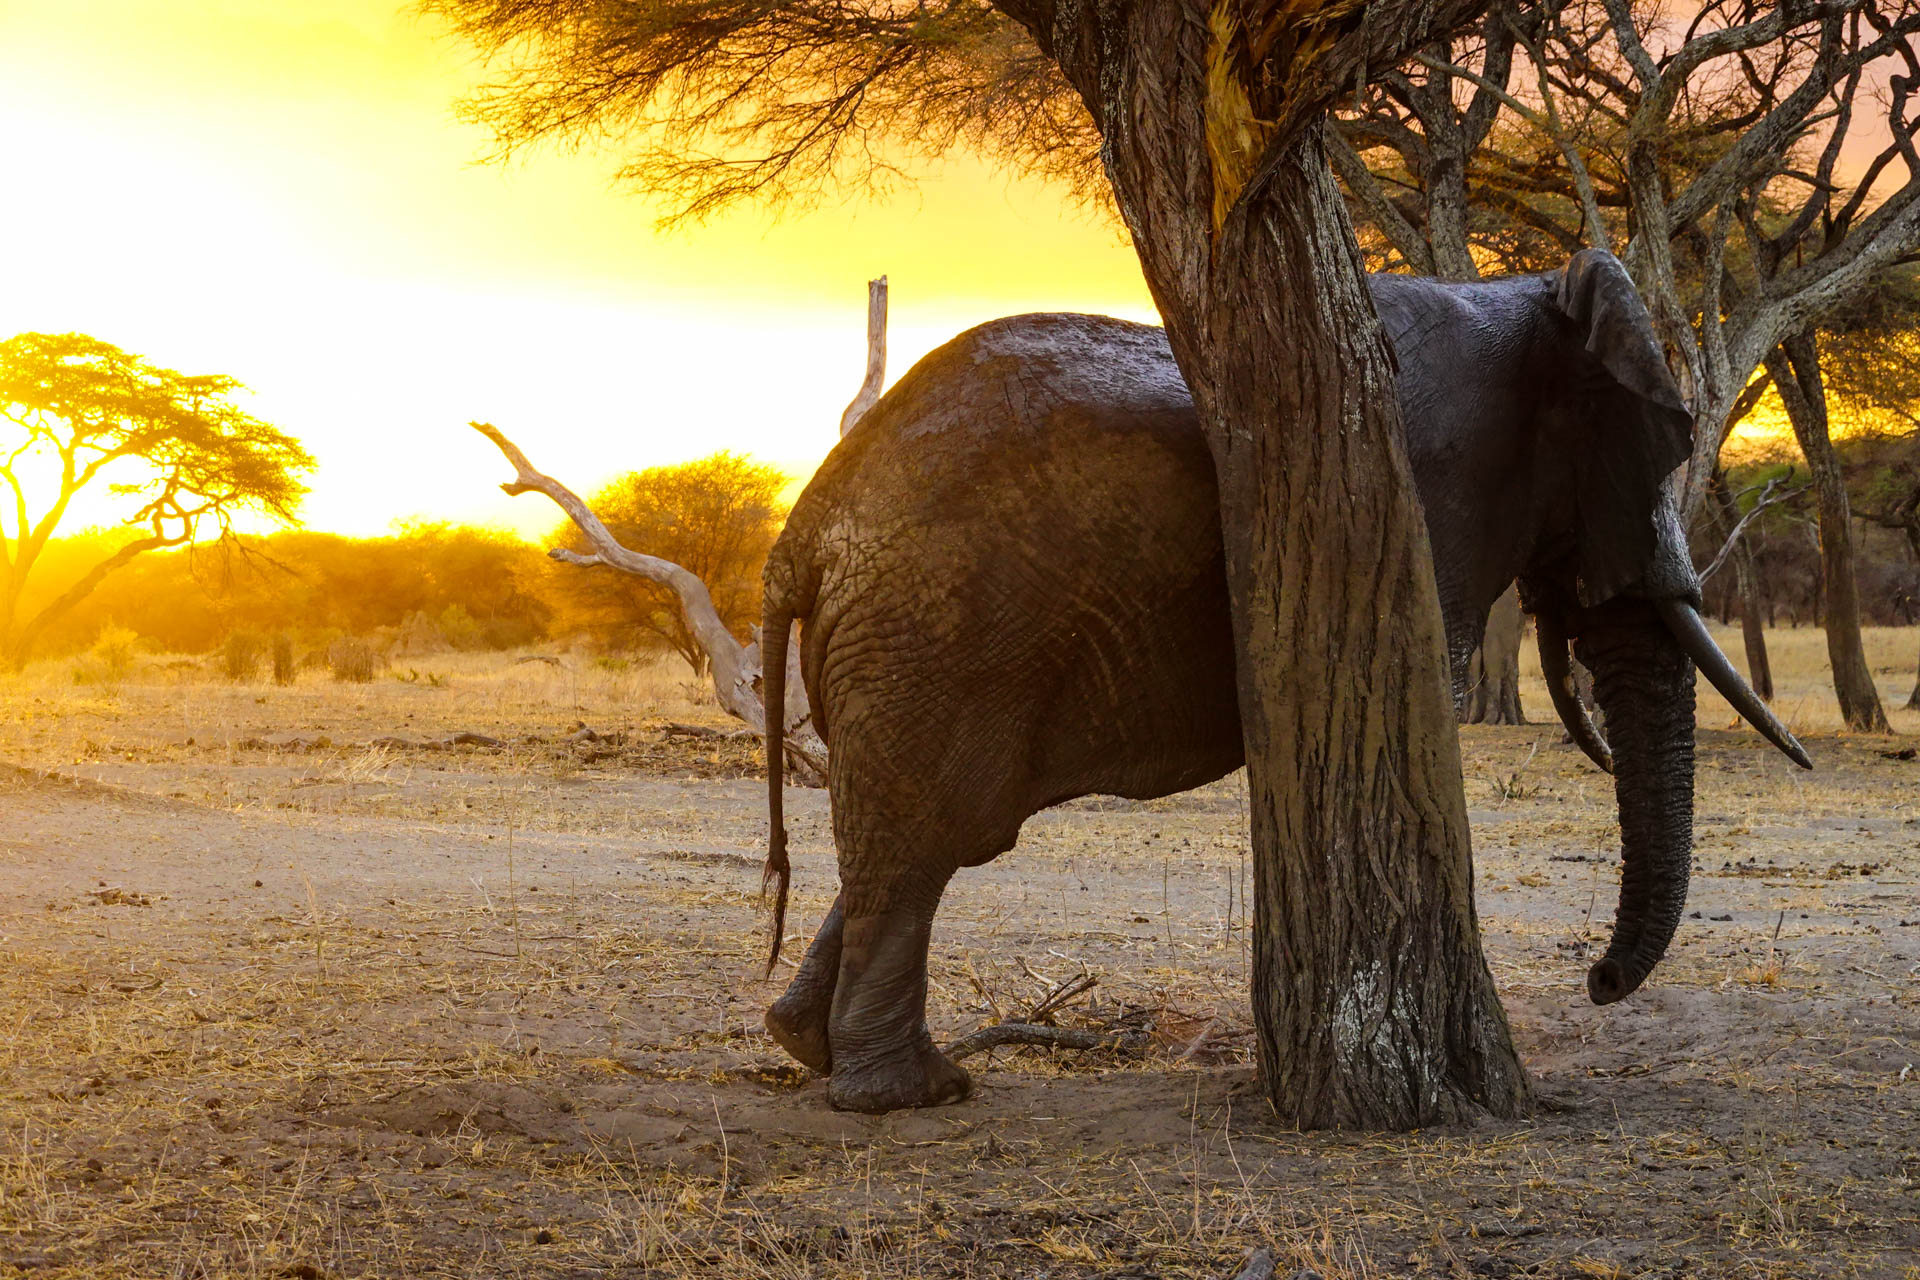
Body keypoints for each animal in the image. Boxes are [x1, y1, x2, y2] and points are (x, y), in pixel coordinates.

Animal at [756, 247, 1804, 1113]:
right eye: (1662, 446)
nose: (1598, 982)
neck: (1529, 289)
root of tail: (801, 534)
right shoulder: (1429, 494)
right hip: (934, 634)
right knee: (933, 837)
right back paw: (904, 1095)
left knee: (923, 838)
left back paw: (820, 1050)